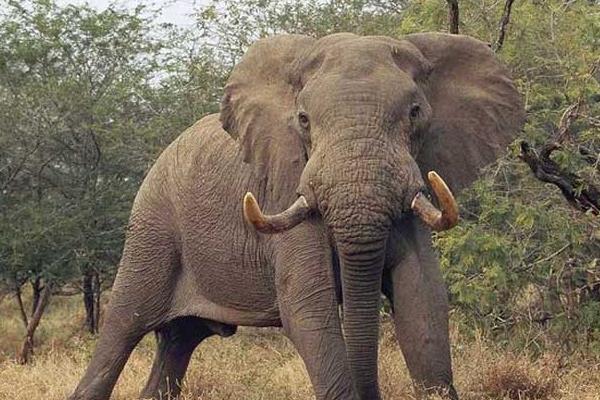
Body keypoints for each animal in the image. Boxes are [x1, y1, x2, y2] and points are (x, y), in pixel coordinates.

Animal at [68, 32, 524, 400]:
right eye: (303, 120)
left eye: (415, 113)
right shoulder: (286, 186)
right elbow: (308, 308)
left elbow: (423, 298)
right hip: (152, 228)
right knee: (122, 328)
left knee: (177, 343)